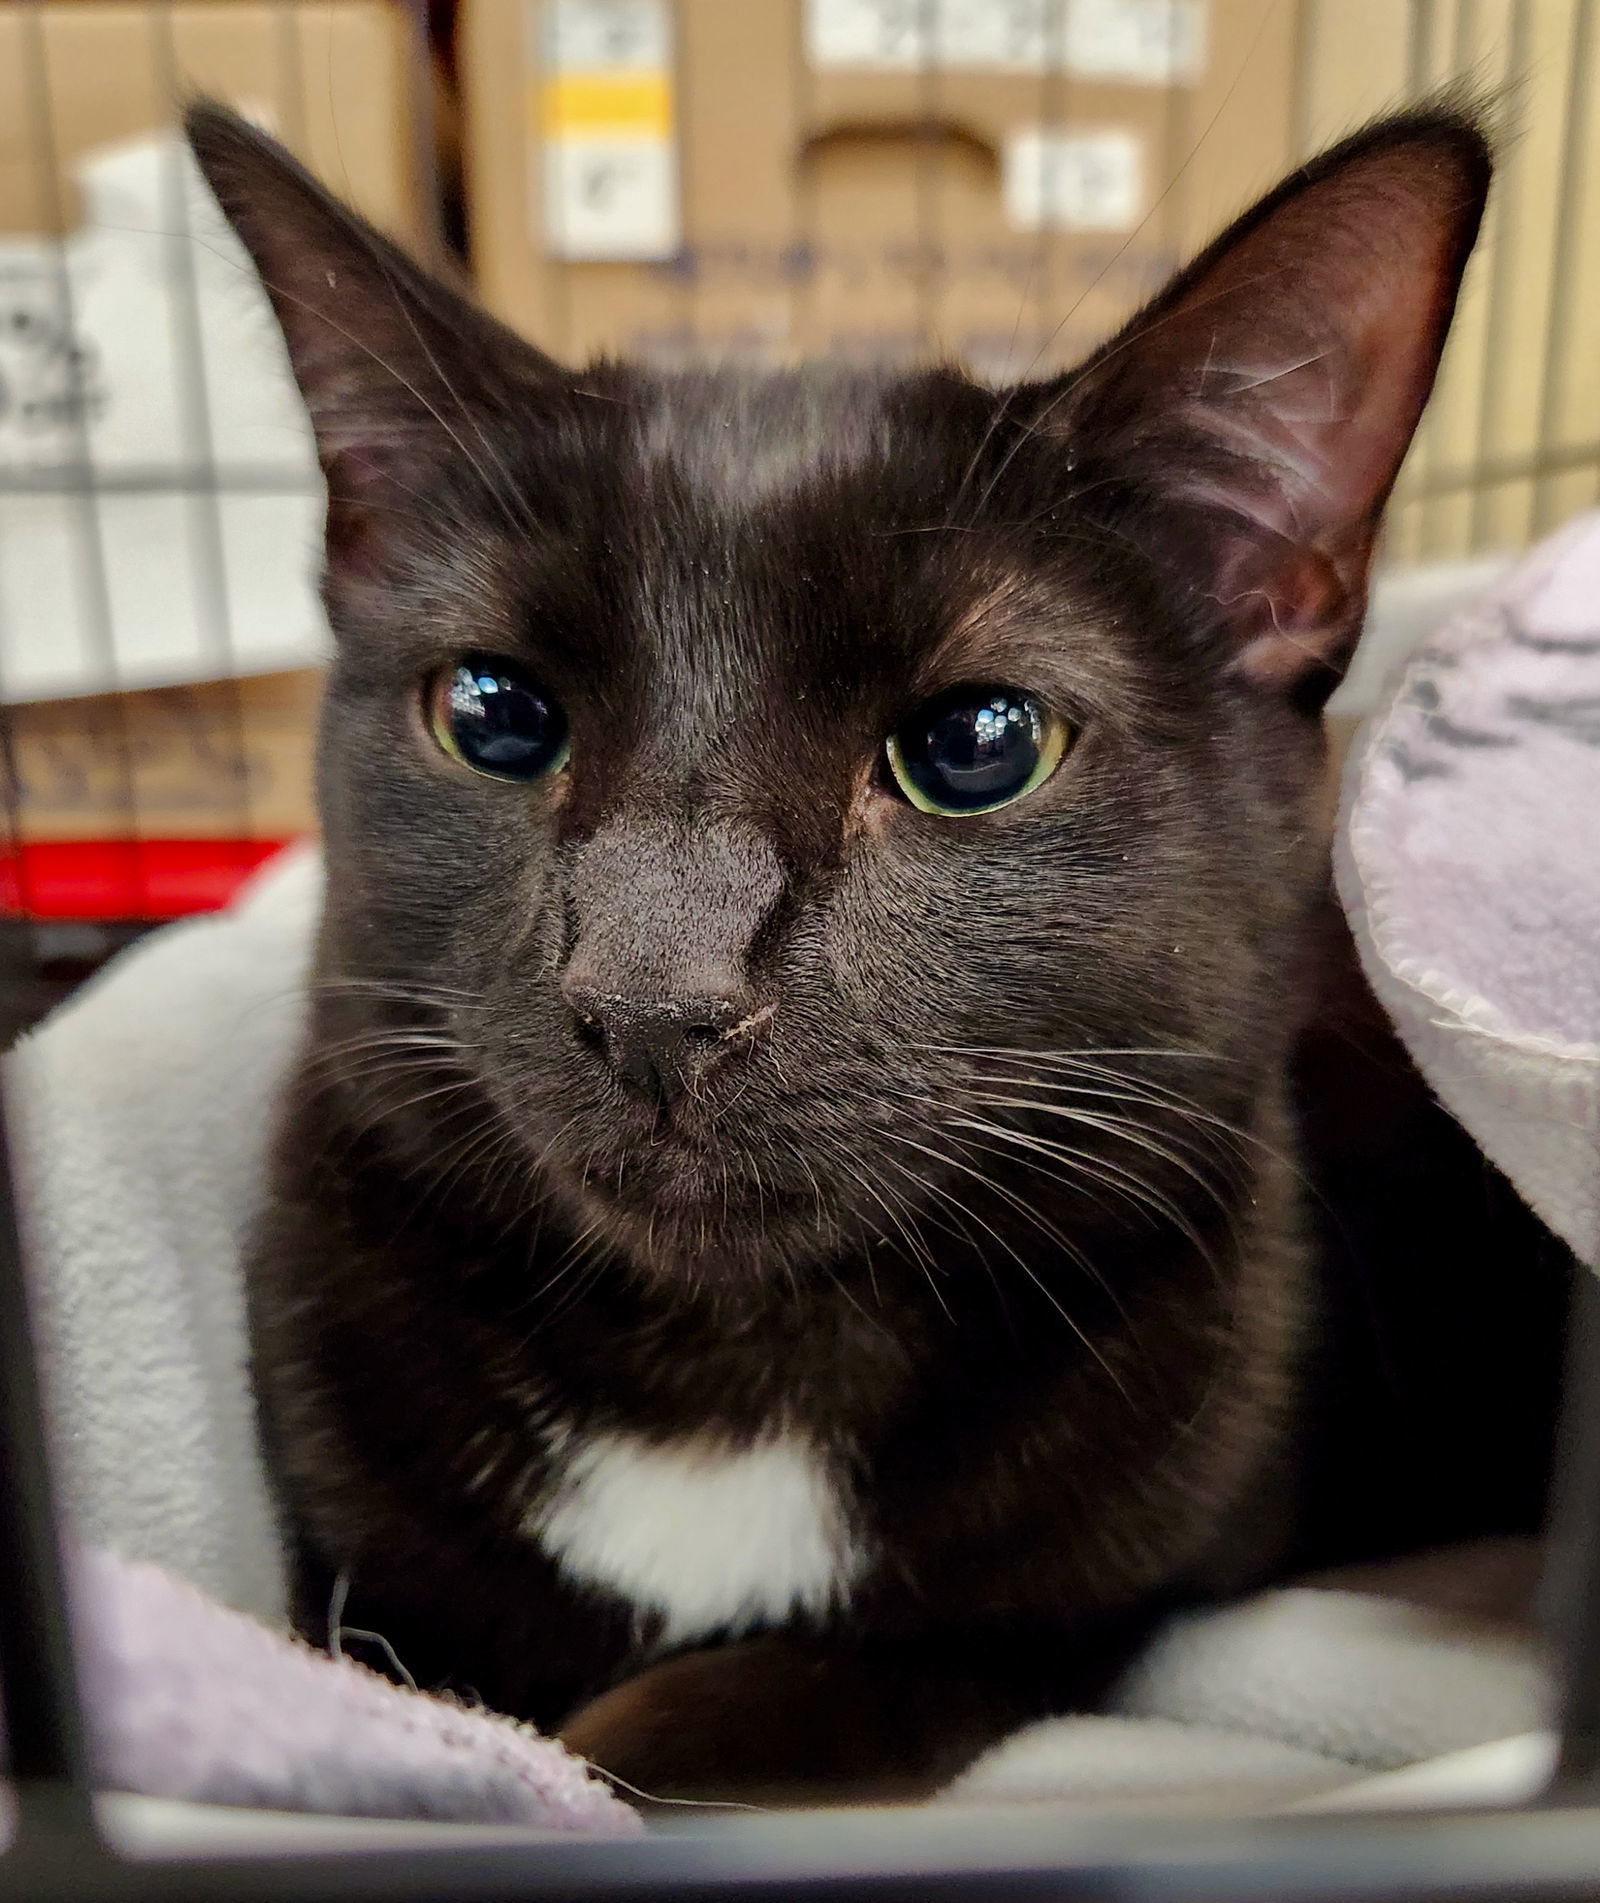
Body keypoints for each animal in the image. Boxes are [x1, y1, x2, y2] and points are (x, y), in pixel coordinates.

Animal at [184, 100, 1560, 1796]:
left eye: (979, 744)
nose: (653, 993)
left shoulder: (1087, 1605)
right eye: (493, 713)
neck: (728, 1381)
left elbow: (714, 1716)